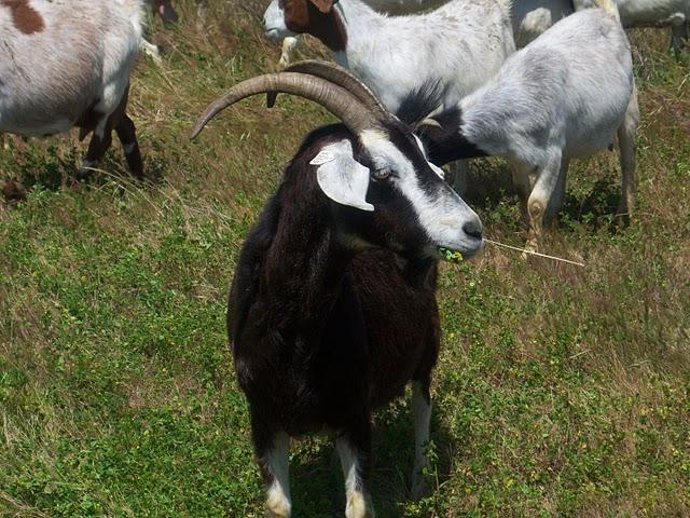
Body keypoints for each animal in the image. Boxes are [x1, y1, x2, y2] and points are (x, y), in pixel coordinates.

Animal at [0, 0, 145, 179]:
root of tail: (126, 11)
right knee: (126, 126)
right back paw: (138, 178)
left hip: (111, 91)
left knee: (102, 140)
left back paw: (79, 180)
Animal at [191, 61, 484, 518]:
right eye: (381, 172)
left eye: (430, 165)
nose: (473, 229)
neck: (293, 334)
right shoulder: (263, 417)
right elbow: (279, 505)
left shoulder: (355, 416)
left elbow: (358, 505)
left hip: (426, 351)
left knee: (423, 406)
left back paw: (418, 482)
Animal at [418, 0, 639, 253]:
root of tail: (606, 14)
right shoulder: (518, 157)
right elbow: (522, 191)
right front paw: (527, 230)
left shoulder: (550, 155)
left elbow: (535, 203)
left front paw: (530, 250)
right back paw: (553, 220)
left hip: (629, 112)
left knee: (628, 163)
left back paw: (624, 217)